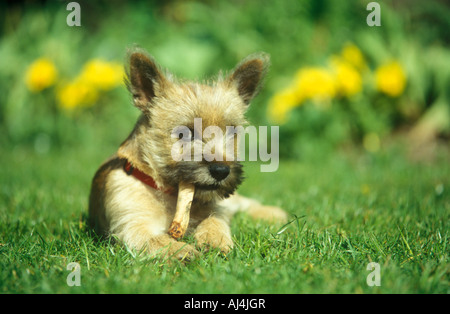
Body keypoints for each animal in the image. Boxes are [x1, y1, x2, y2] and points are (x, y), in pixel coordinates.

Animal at [88, 47, 288, 260]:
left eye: (232, 132)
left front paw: (215, 241)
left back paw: (273, 213)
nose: (221, 171)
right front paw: (183, 252)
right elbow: (157, 240)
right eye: (185, 133)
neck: (168, 191)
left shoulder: (214, 207)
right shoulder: (133, 226)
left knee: (245, 203)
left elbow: (215, 219)